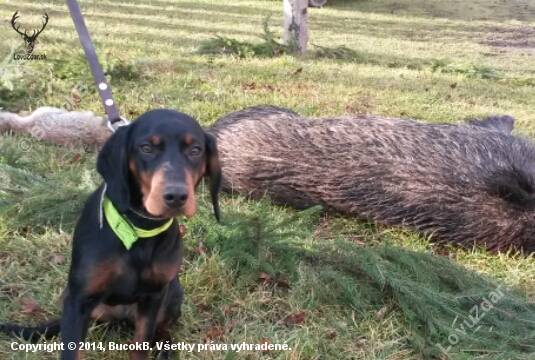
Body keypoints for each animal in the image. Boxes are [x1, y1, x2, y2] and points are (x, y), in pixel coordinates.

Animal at [0, 109, 221, 360]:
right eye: (146, 148)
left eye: (195, 150)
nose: (176, 196)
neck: (138, 228)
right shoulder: (79, 301)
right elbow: (71, 348)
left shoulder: (153, 298)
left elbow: (142, 346)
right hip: (69, 295)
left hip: (173, 293)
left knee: (162, 328)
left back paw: (165, 348)